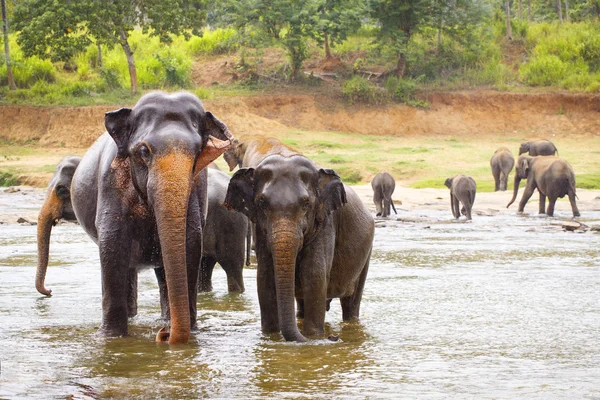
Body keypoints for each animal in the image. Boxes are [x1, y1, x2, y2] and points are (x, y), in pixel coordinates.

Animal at [226, 152, 376, 342]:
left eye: (306, 204)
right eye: (261, 203)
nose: (333, 338)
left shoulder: (325, 223)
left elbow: (314, 275)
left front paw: (313, 337)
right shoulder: (260, 229)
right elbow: (265, 277)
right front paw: (270, 337)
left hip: (367, 252)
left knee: (351, 302)